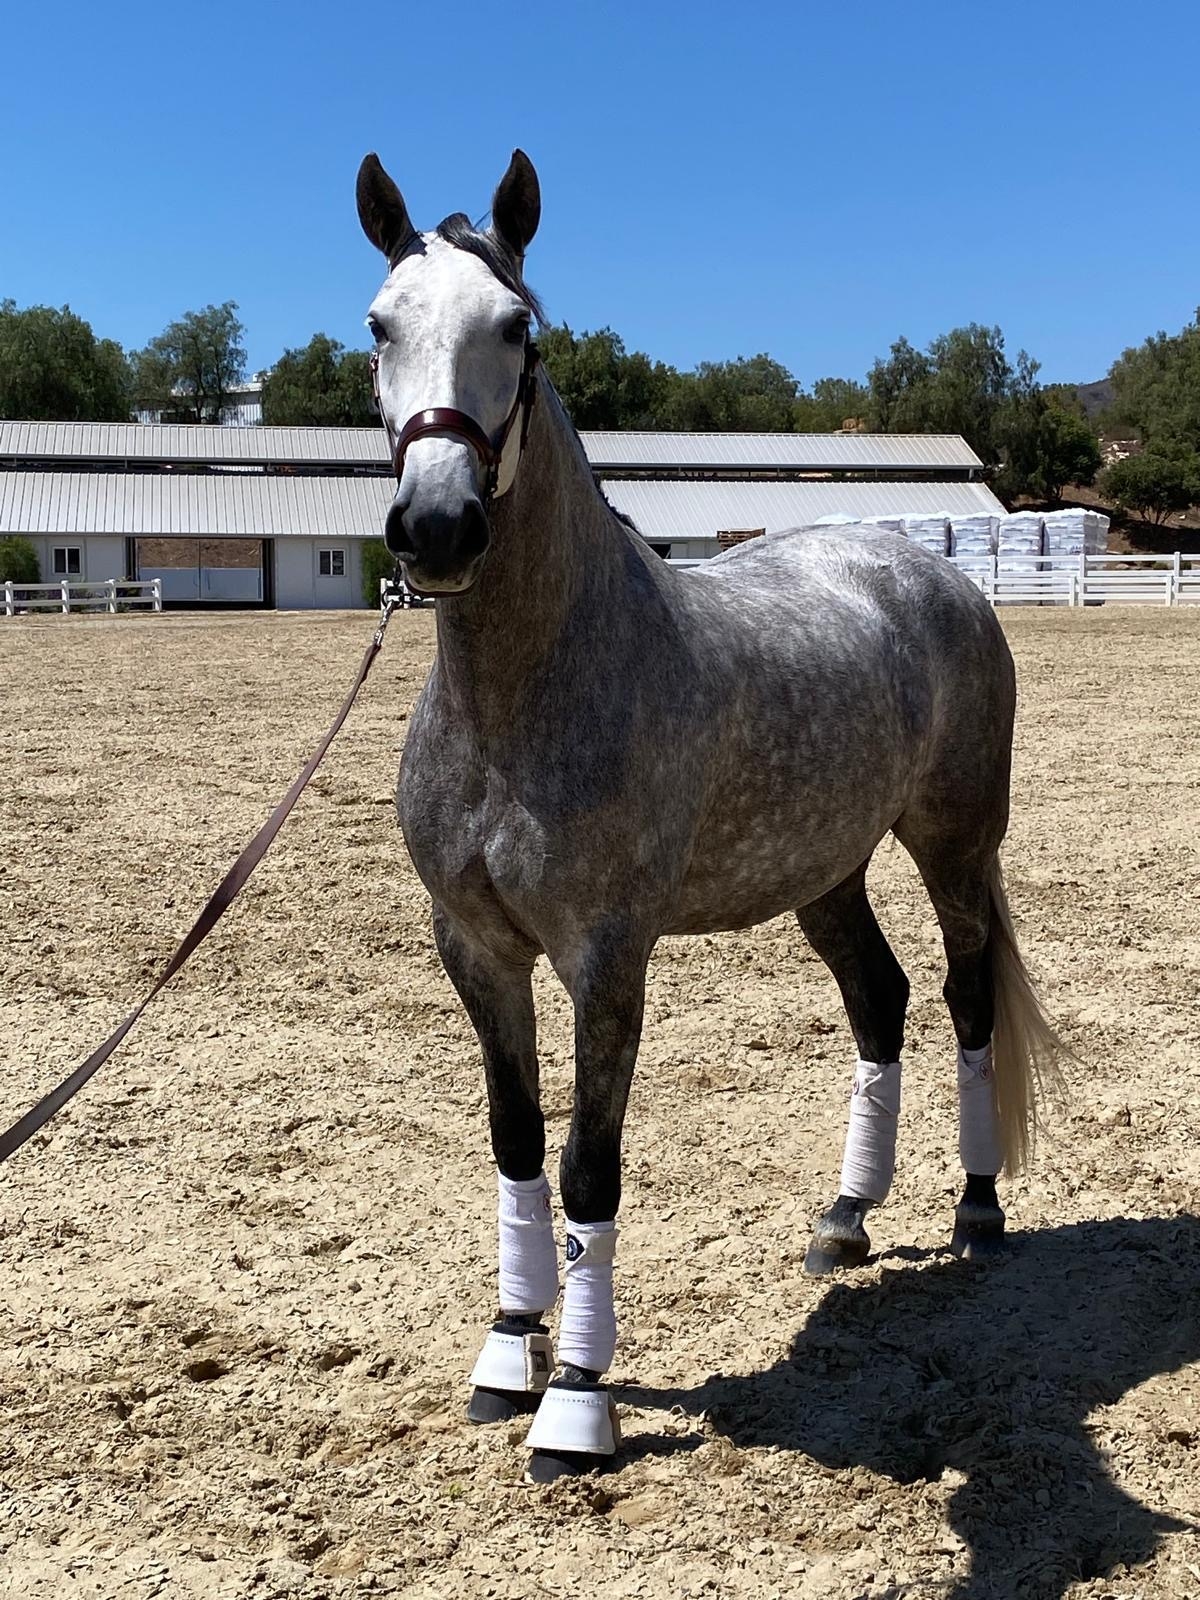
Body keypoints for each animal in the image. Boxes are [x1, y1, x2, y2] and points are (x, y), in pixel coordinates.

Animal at [355, 148, 1066, 1482]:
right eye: (378, 326)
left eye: (519, 330)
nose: (437, 527)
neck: (523, 697)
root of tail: (930, 570)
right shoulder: (474, 948)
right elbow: (516, 1139)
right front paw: (506, 1351)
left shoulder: (606, 956)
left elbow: (590, 1164)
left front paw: (576, 1405)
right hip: (824, 870)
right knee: (879, 998)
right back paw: (846, 1218)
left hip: (953, 845)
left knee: (962, 998)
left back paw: (978, 1208)